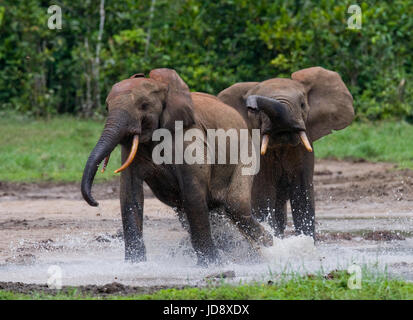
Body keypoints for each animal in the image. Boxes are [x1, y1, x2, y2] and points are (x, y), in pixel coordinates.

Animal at [81, 69, 274, 266]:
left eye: (144, 105)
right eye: (107, 108)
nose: (95, 202)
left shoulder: (188, 135)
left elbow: (192, 191)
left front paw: (210, 264)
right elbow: (130, 193)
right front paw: (135, 263)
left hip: (247, 153)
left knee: (235, 205)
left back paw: (269, 244)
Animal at [216, 66, 354, 239]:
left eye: (302, 104)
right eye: (255, 112)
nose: (252, 103)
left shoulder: (304, 150)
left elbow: (303, 197)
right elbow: (262, 196)